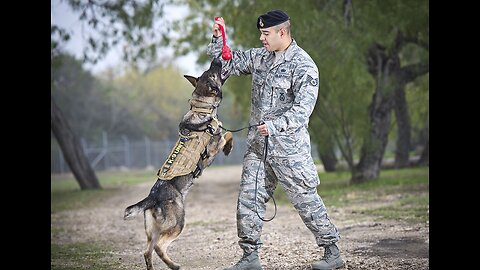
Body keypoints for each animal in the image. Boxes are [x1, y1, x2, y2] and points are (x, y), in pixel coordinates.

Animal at [124, 58, 232, 268]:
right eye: (213, 73)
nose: (216, 59)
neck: (202, 107)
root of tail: (152, 197)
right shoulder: (214, 146)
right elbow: (228, 134)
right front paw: (229, 147)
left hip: (153, 231)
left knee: (147, 251)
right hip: (178, 223)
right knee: (159, 247)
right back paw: (174, 265)